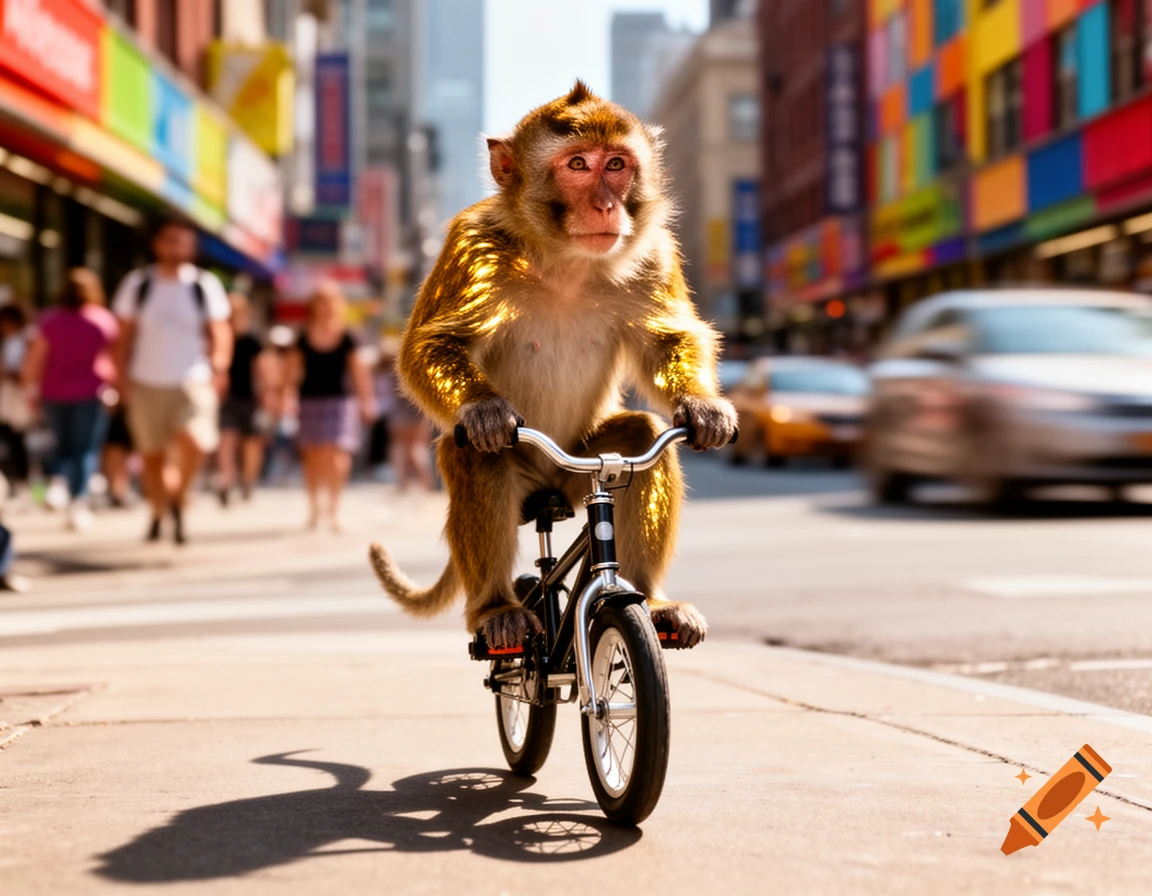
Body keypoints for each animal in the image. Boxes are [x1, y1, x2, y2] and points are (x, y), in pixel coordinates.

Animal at [369, 81, 736, 650]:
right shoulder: (470, 243)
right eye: (578, 164)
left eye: (616, 164)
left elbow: (667, 338)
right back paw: (495, 608)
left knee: (638, 437)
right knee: (479, 456)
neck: (564, 260)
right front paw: (484, 411)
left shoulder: (653, 251)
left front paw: (703, 407)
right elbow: (432, 344)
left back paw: (653, 602)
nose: (606, 205)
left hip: (583, 465)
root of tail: (550, 488)